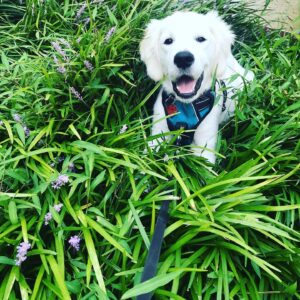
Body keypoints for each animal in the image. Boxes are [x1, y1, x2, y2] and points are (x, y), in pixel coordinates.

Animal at [140, 11, 253, 164]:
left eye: (200, 39)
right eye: (168, 41)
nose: (183, 58)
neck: (186, 106)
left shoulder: (205, 145)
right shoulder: (158, 132)